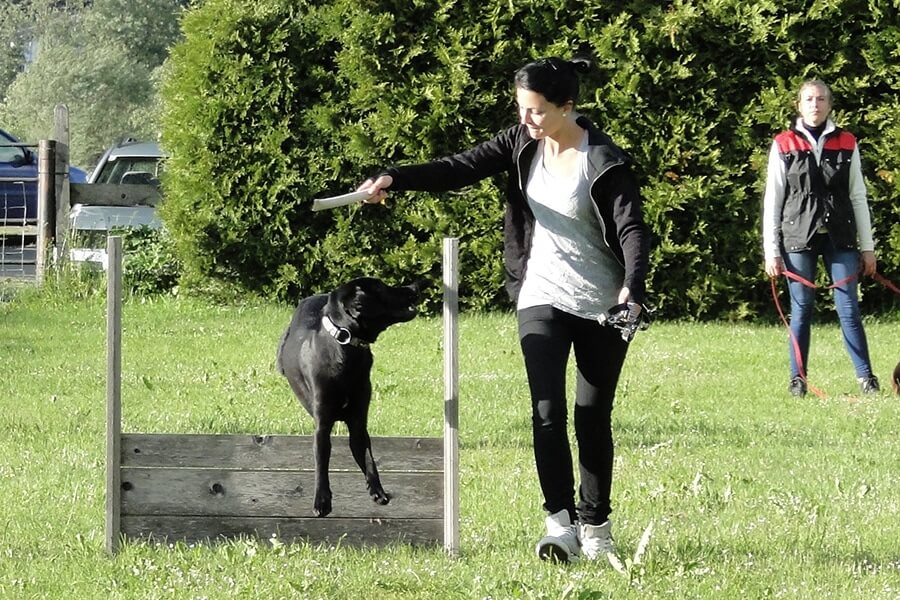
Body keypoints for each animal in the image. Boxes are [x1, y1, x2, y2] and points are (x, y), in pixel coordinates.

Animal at [276, 277, 422, 517]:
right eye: (381, 288)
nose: (416, 287)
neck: (346, 349)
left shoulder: (358, 423)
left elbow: (368, 458)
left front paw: (377, 491)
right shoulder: (322, 425)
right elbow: (321, 461)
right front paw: (322, 500)